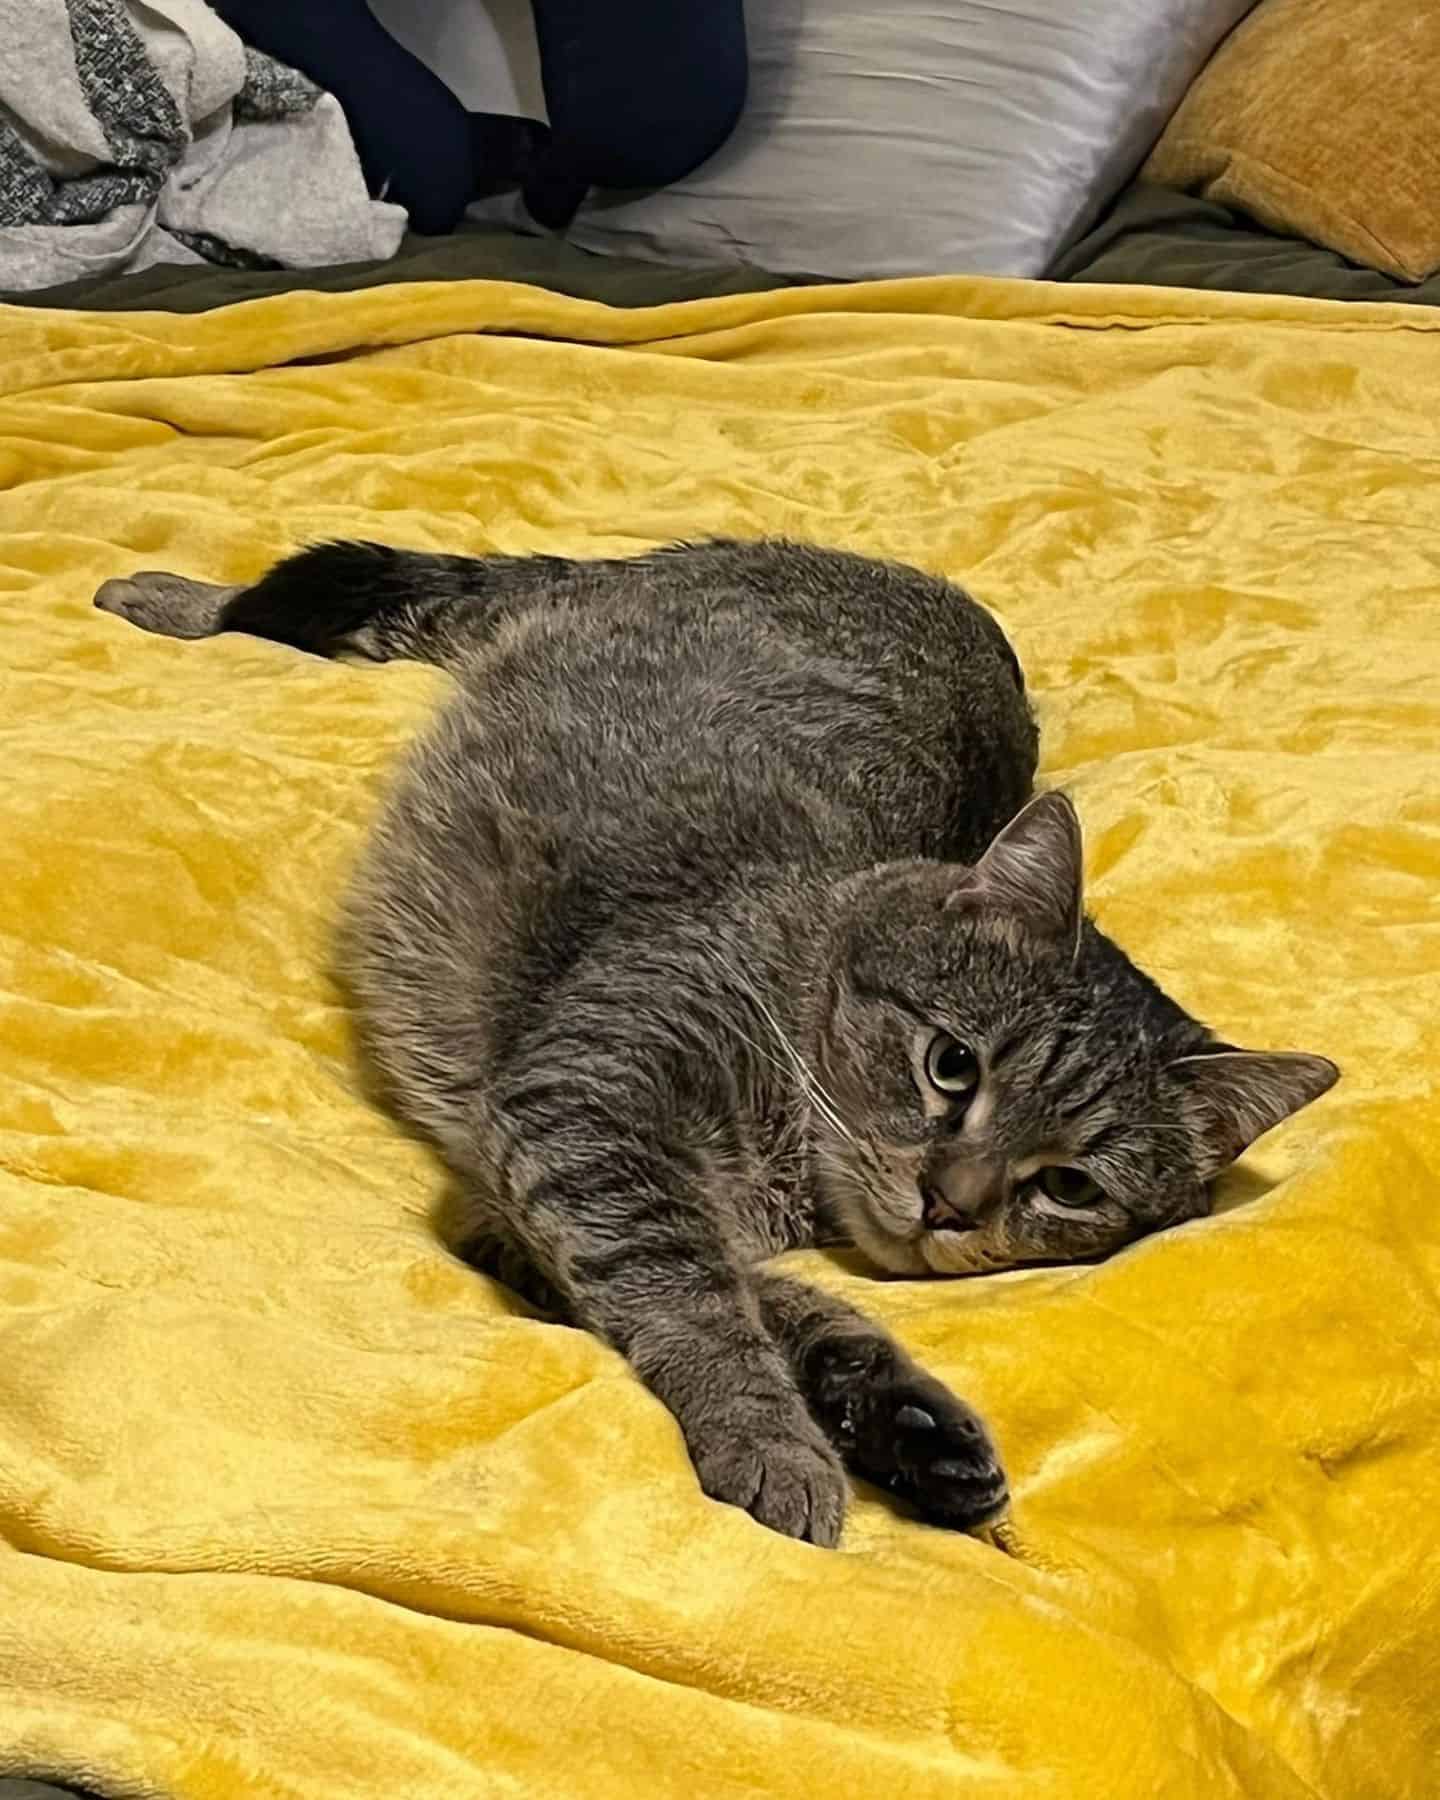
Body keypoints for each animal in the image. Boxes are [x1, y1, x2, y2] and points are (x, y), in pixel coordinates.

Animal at [95, 536, 1339, 1548]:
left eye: (1072, 1186)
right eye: (953, 1065)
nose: (949, 1205)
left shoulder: (535, 1196)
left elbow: (783, 1307)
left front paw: (903, 1423)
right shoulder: (584, 1116)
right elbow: (702, 1305)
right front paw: (776, 1439)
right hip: (483, 624)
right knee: (326, 603)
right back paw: (147, 593)